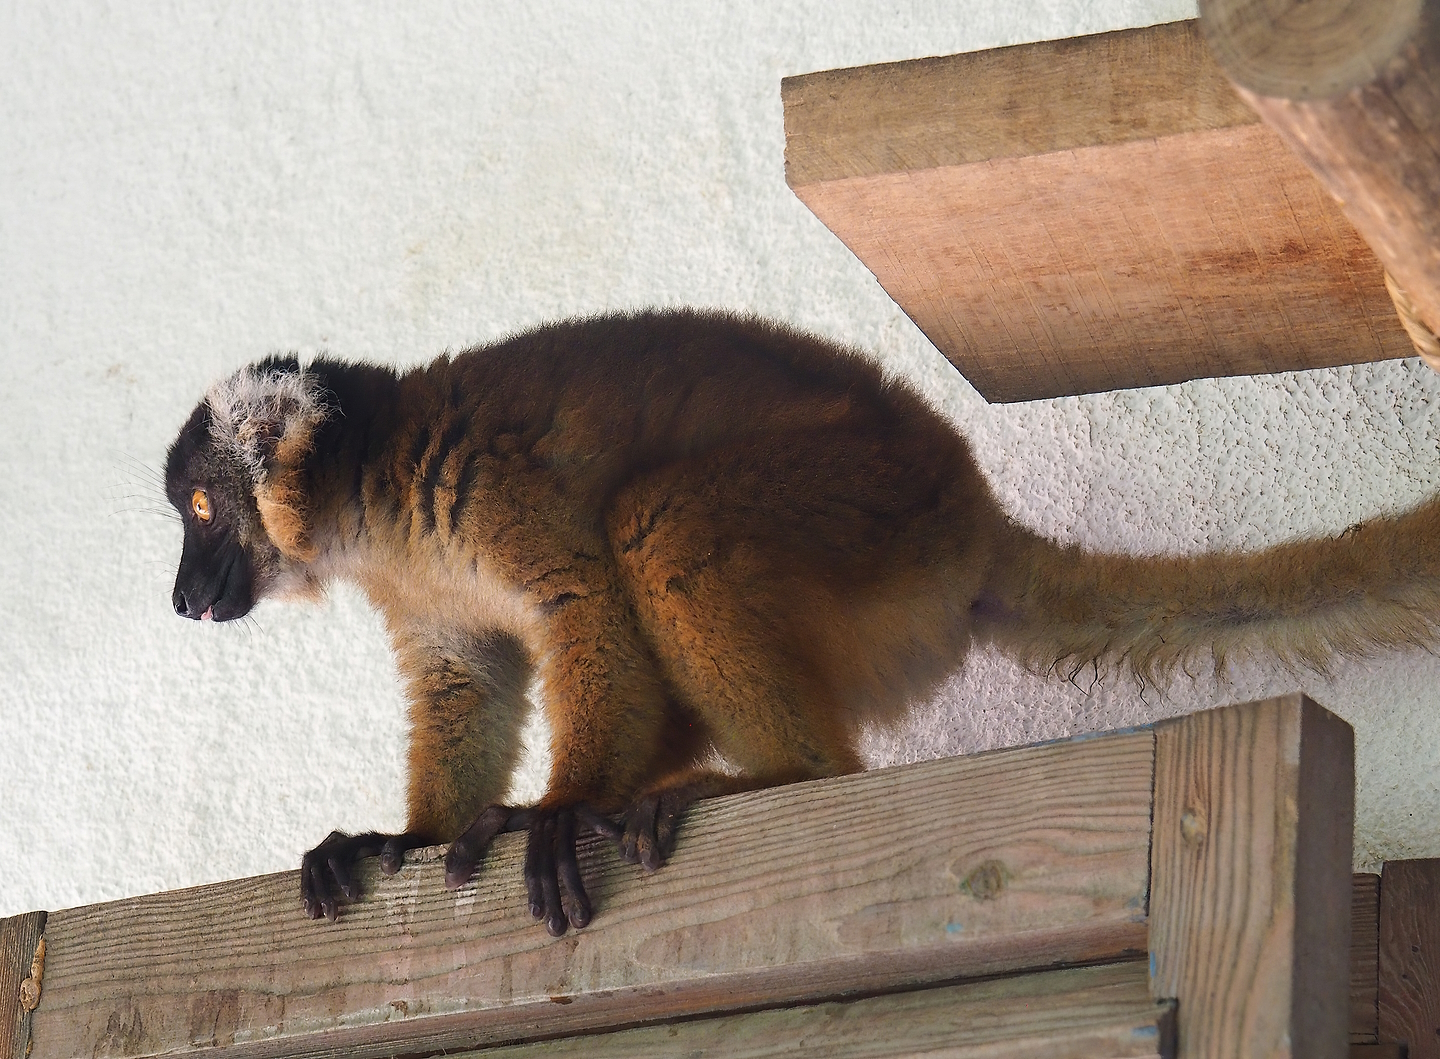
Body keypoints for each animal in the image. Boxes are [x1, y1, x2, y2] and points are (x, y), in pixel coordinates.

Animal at [165, 307, 1440, 936]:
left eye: (201, 509)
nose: (183, 596)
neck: (378, 498)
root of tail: (973, 516)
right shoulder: (416, 582)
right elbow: (462, 677)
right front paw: (405, 840)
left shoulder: (494, 492)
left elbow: (586, 598)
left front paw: (557, 810)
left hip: (869, 510)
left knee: (660, 521)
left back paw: (783, 775)